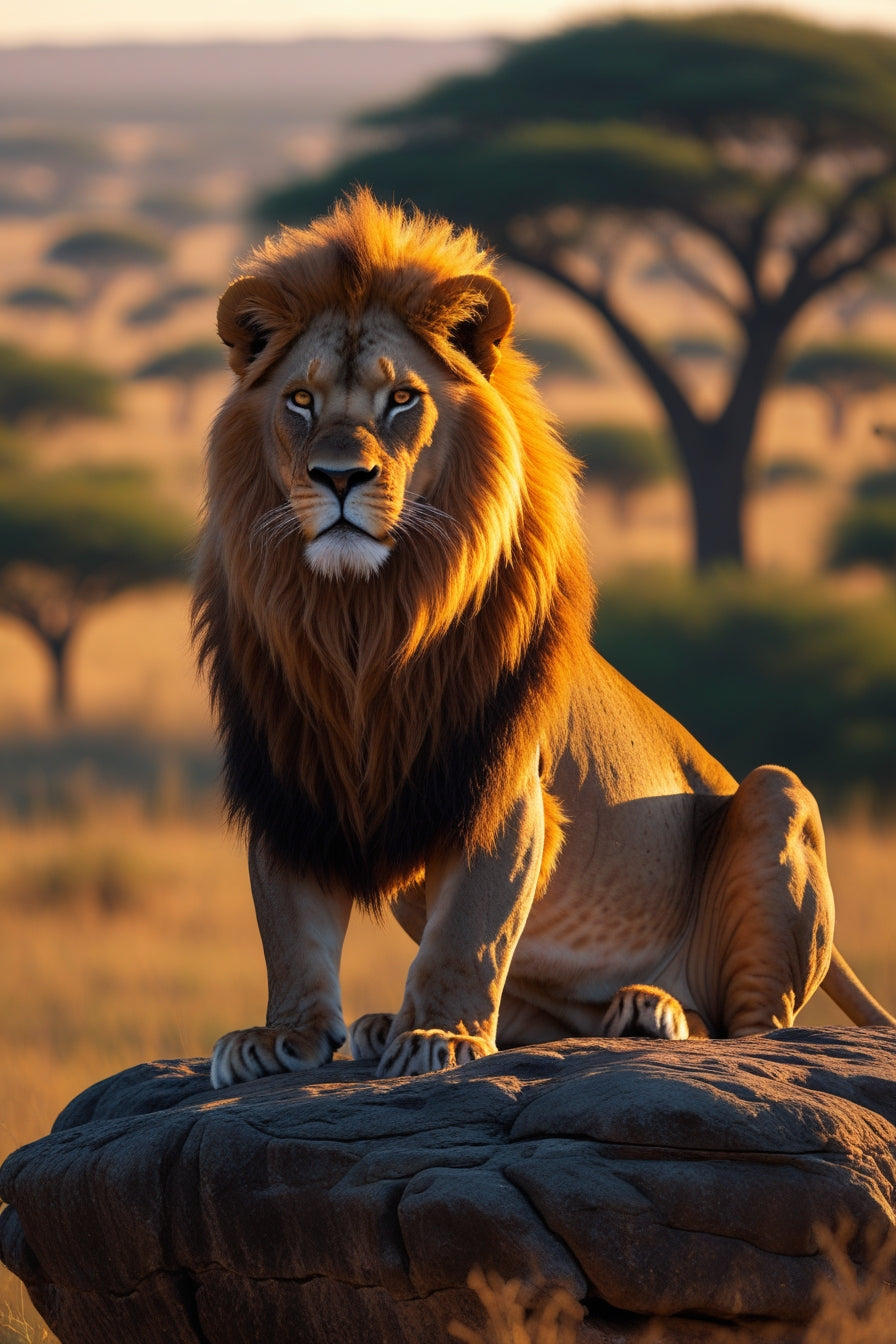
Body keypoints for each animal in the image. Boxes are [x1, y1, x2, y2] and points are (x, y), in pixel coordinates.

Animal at [193, 189, 894, 1087]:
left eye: (402, 399)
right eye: (301, 401)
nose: (340, 477)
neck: (364, 620)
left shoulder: (496, 779)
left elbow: (473, 926)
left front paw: (443, 1036)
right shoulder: (286, 769)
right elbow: (289, 926)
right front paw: (284, 1036)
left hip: (777, 796)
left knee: (749, 1027)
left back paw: (654, 1011)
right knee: (550, 1021)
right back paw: (418, 1022)